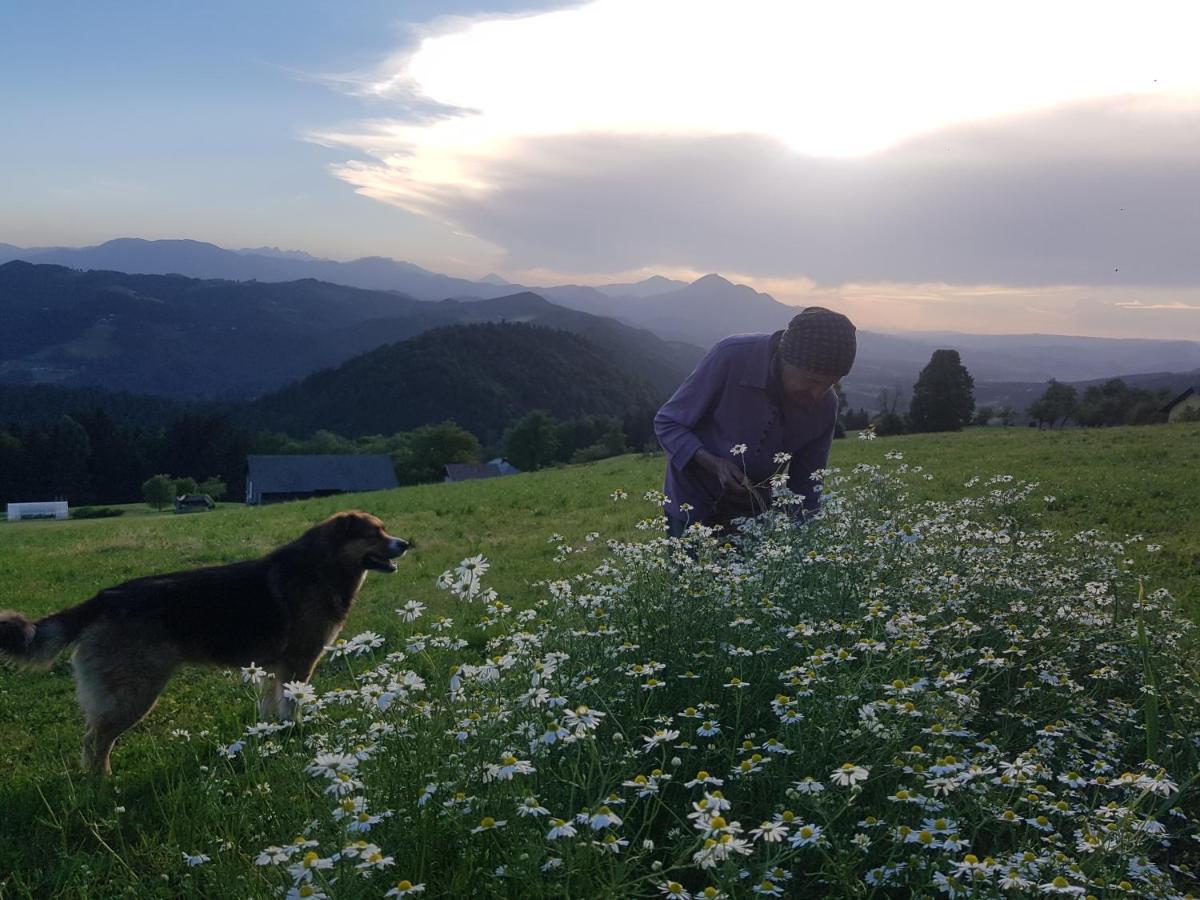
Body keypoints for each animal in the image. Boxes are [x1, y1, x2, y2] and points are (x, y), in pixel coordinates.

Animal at [0, 513, 408, 777]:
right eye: (374, 534)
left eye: (385, 530)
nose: (405, 543)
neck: (323, 565)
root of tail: (104, 598)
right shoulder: (298, 663)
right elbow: (291, 707)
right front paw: (296, 733)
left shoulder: (271, 670)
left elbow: (269, 708)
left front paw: (271, 737)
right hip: (133, 694)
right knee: (94, 742)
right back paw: (103, 784)